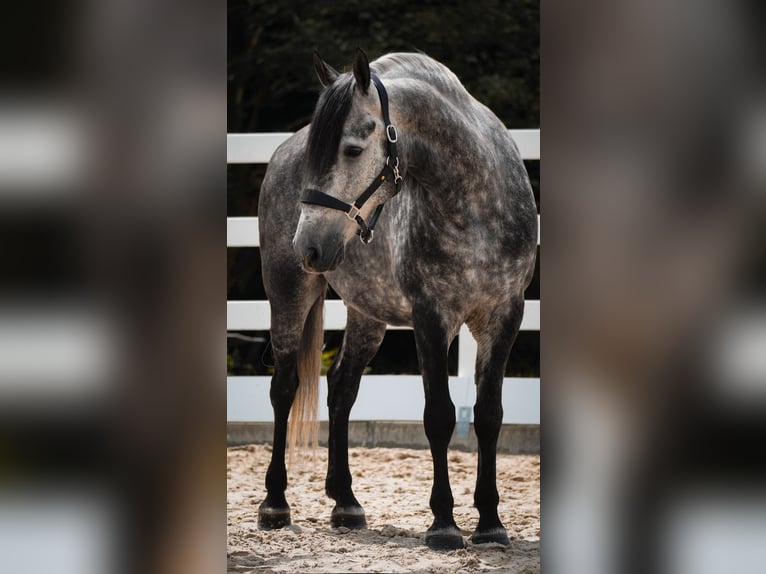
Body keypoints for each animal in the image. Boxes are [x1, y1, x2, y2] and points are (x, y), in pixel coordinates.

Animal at [256, 48, 537, 550]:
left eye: (352, 149)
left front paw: (490, 523)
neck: (475, 205)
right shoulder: (432, 319)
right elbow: (439, 416)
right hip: (288, 293)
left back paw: (346, 503)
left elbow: (488, 415)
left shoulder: (505, 316)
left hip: (367, 313)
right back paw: (275, 503)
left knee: (341, 388)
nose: (307, 245)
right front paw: (444, 524)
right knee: (284, 387)